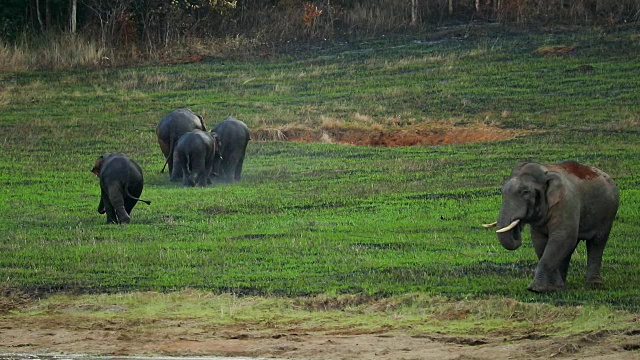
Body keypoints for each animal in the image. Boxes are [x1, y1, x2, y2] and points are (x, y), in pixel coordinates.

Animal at [484, 160, 620, 292]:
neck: (546, 172)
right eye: (502, 192)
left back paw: (594, 284)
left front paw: (536, 289)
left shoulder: (566, 203)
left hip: (609, 211)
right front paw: (555, 287)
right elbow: (541, 242)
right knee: (571, 247)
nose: (518, 225)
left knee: (597, 242)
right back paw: (564, 282)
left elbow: (563, 237)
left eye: (525, 192)